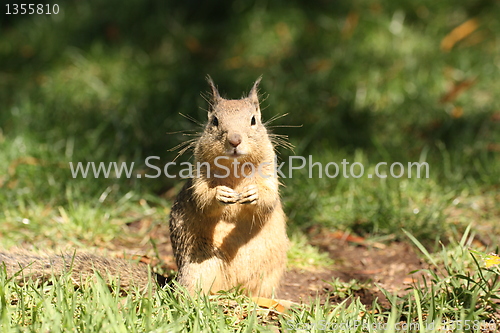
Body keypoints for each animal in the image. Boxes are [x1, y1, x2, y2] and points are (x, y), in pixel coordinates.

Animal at [0, 76, 288, 296]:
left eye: (254, 120)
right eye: (214, 121)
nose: (235, 140)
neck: (236, 171)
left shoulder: (269, 174)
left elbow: (269, 199)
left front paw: (252, 193)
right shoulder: (197, 179)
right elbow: (202, 199)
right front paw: (221, 194)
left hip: (267, 277)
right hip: (200, 270)